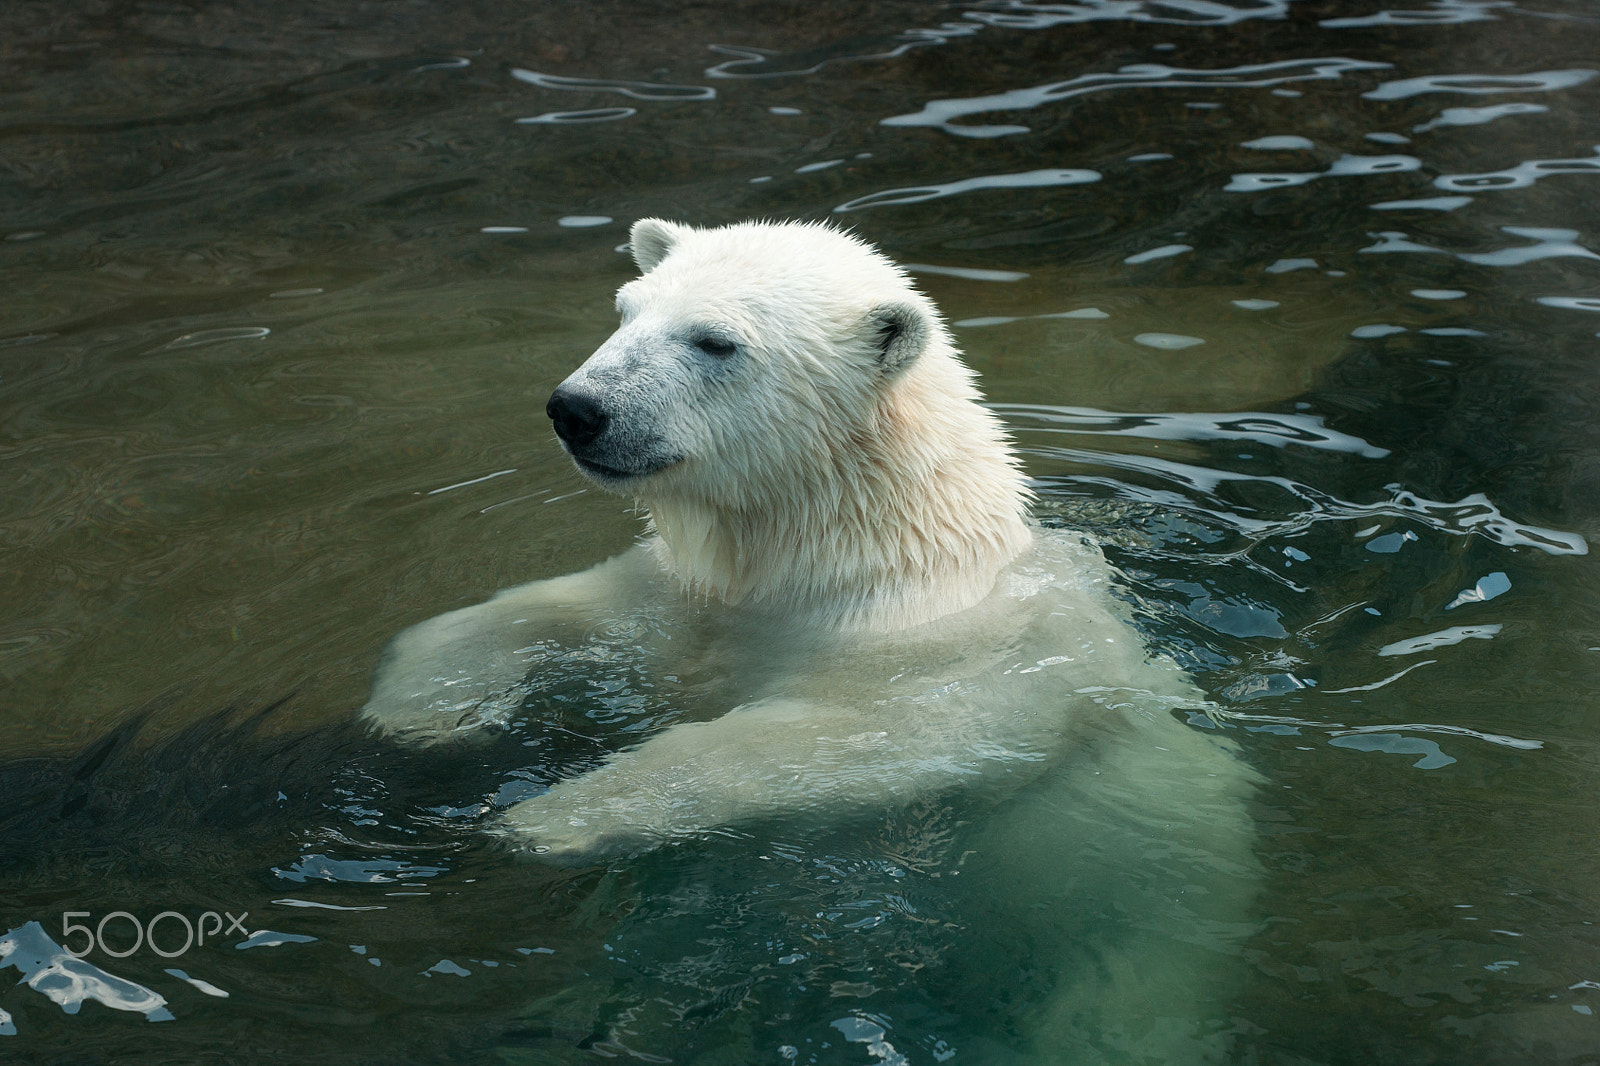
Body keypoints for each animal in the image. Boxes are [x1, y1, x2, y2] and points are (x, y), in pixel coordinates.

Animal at [363, 219, 1260, 1056]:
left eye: (715, 340)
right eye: (625, 310)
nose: (577, 409)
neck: (849, 556)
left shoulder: (950, 655)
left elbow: (847, 739)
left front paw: (550, 817)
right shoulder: (690, 596)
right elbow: (555, 612)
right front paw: (419, 709)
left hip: (1136, 915)